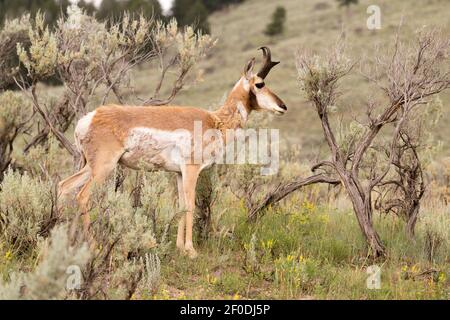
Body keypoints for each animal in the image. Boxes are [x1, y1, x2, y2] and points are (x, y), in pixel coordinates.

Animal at [58, 47, 286, 258]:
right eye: (260, 84)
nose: (283, 106)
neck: (215, 121)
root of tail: (89, 118)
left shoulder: (178, 173)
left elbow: (181, 205)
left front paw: (180, 248)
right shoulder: (191, 170)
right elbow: (190, 206)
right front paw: (191, 250)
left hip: (90, 167)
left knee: (63, 186)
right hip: (103, 168)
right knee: (82, 195)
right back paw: (92, 246)